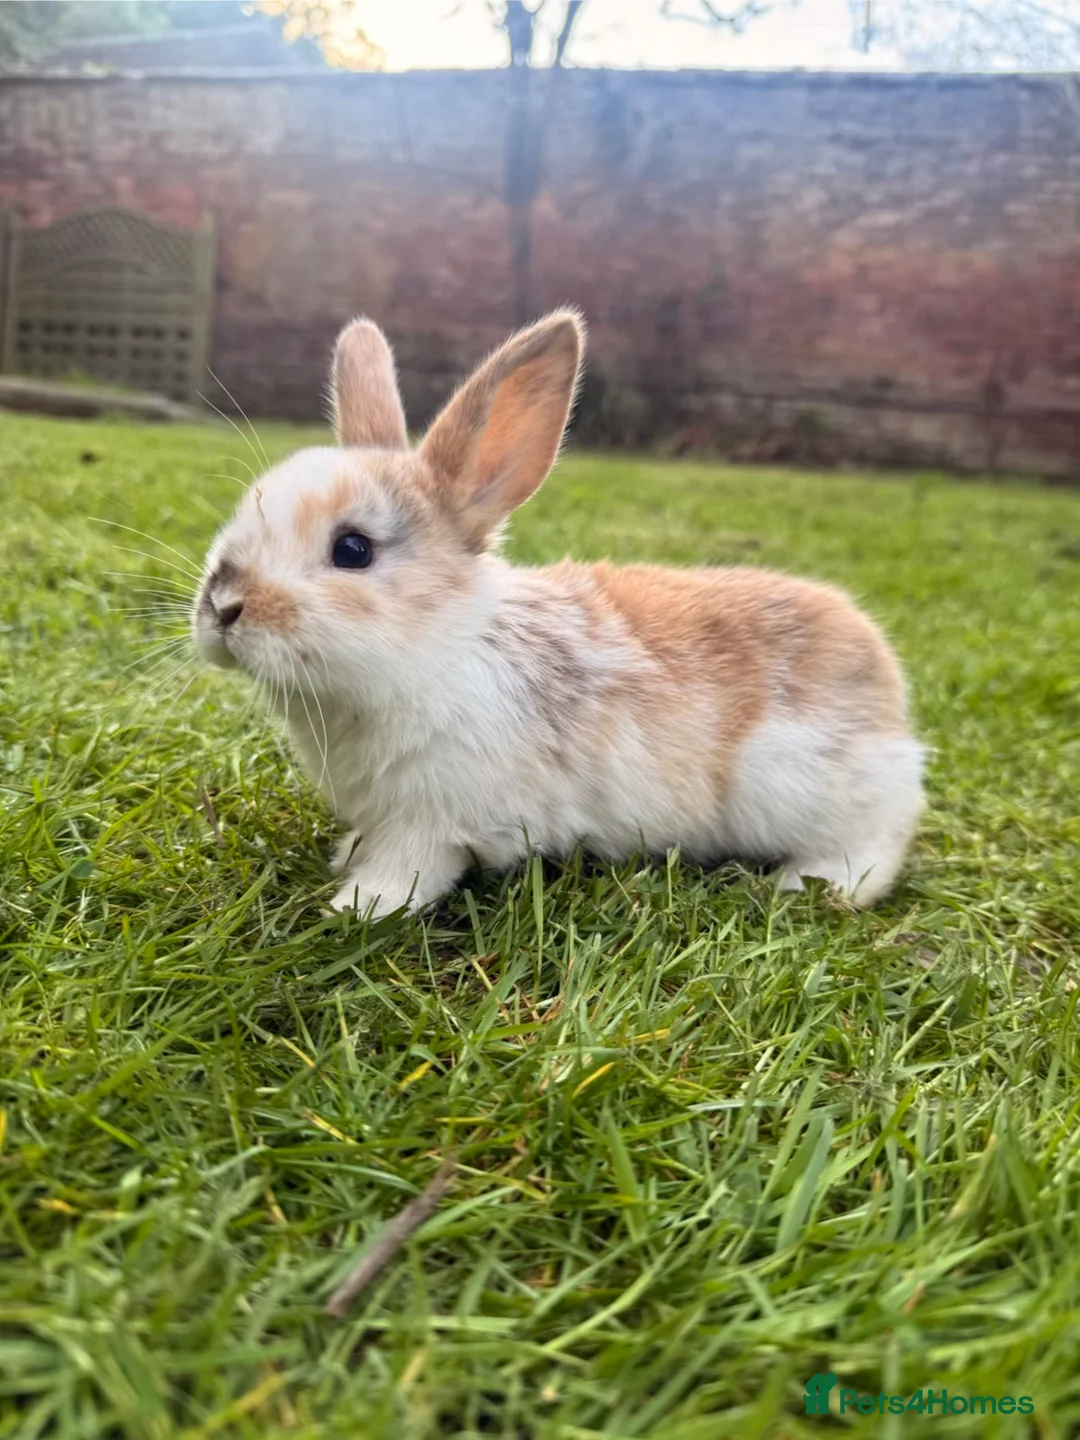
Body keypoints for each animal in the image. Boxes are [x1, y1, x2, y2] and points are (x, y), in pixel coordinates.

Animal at [191, 309, 924, 918]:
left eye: (353, 549)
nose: (223, 607)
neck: (438, 648)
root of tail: (890, 704)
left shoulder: (433, 819)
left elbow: (410, 869)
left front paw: (357, 907)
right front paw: (345, 860)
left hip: (806, 786)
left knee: (877, 839)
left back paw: (810, 885)